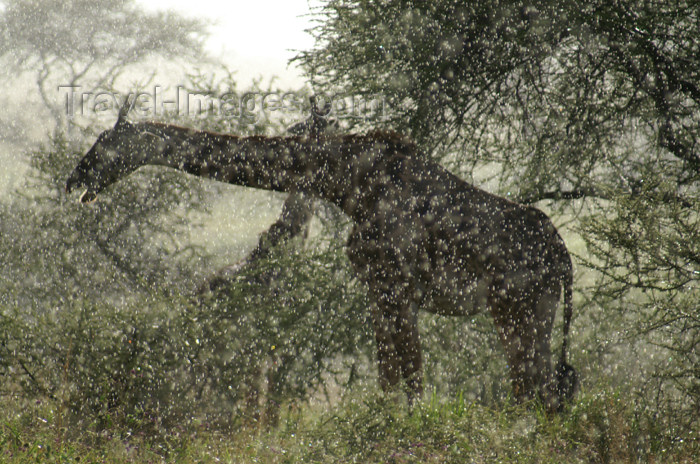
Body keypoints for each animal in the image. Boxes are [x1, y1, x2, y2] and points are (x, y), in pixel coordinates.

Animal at [68, 98, 576, 410]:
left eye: (104, 143)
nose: (75, 180)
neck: (347, 182)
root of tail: (564, 259)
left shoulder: (398, 286)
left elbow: (411, 380)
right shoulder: (380, 289)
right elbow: (390, 379)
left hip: (520, 309)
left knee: (539, 392)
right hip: (526, 312)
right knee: (539, 391)